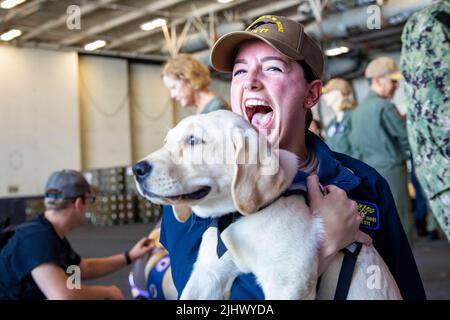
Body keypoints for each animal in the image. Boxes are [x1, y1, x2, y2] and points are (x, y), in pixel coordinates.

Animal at [134, 110, 400, 300]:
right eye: (166, 141)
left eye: (194, 140)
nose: (137, 169)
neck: (238, 218)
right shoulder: (208, 273)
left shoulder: (289, 283)